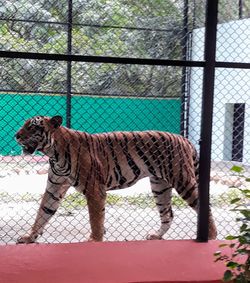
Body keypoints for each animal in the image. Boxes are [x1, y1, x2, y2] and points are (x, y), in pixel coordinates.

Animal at [15, 115, 217, 244]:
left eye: (32, 126)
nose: (16, 136)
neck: (53, 152)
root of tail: (184, 139)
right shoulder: (55, 187)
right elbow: (43, 213)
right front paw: (29, 237)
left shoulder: (94, 190)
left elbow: (96, 220)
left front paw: (94, 241)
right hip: (160, 186)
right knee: (168, 214)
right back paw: (156, 236)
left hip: (182, 180)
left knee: (203, 205)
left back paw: (211, 237)